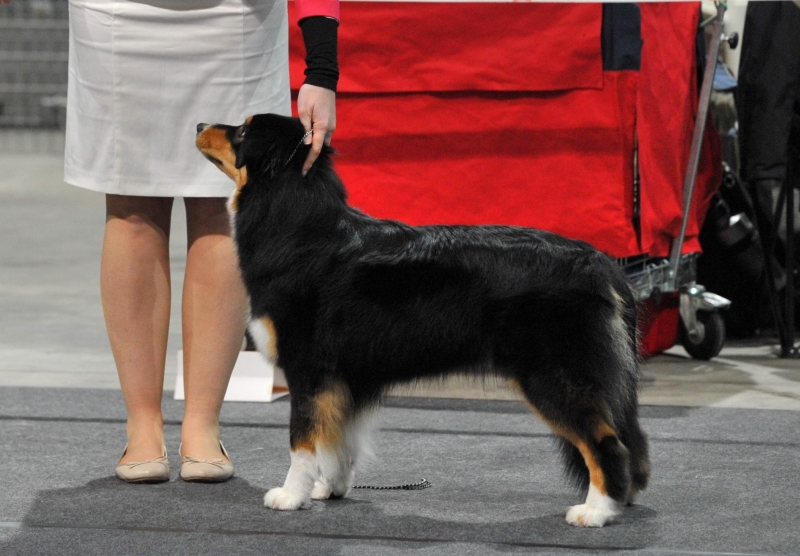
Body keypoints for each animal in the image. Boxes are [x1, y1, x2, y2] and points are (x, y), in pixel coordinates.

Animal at [195, 113, 648, 524]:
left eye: (242, 131)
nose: (199, 124)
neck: (296, 224)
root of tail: (600, 262)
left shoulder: (308, 368)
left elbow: (302, 441)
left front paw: (290, 496)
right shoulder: (344, 379)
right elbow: (338, 440)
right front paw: (331, 488)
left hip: (552, 374)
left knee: (606, 441)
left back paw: (596, 511)